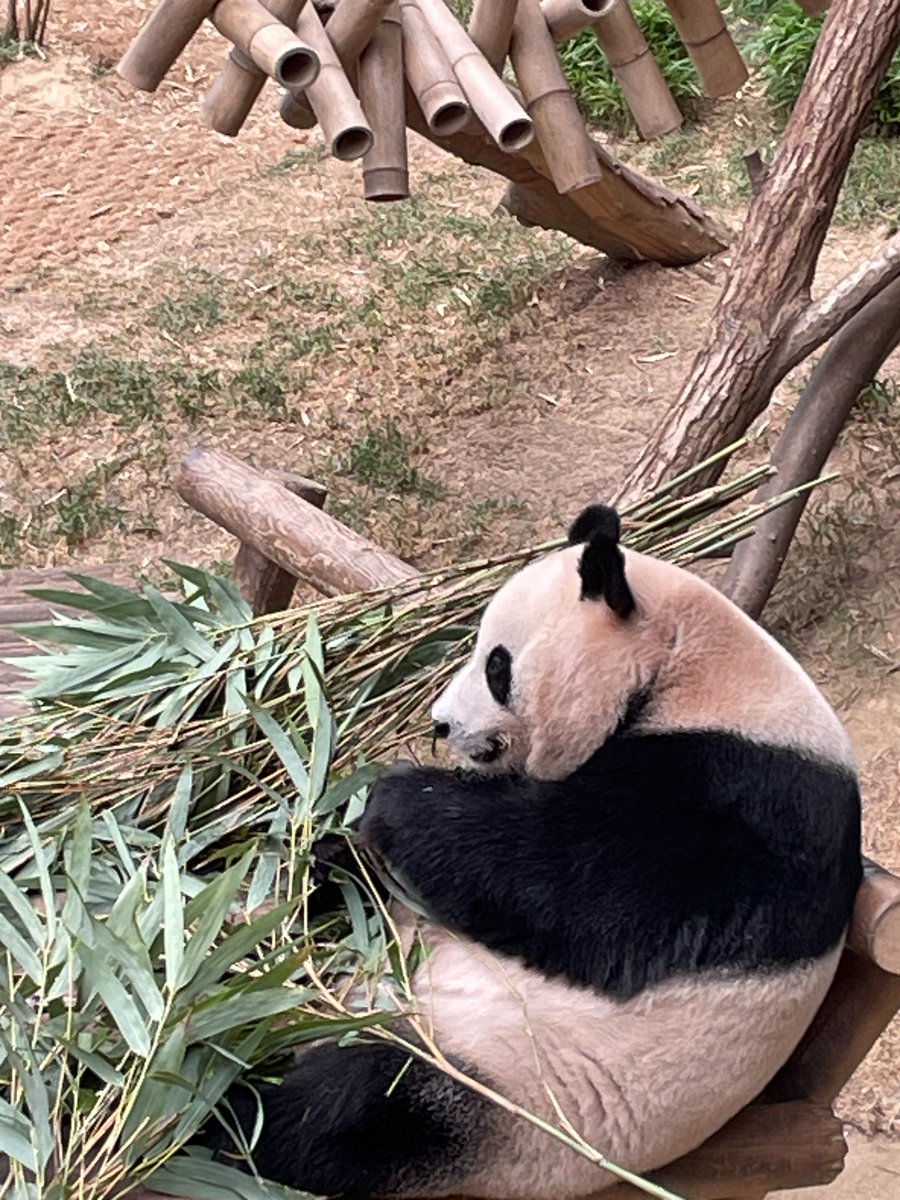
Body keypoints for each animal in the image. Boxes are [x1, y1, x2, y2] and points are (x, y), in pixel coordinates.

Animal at [211, 504, 862, 1199]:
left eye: (498, 667)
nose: (441, 723)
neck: (690, 669)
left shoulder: (744, 799)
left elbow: (579, 890)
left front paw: (397, 794)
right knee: (342, 902)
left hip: (513, 1094)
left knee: (361, 1105)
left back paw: (222, 1100)